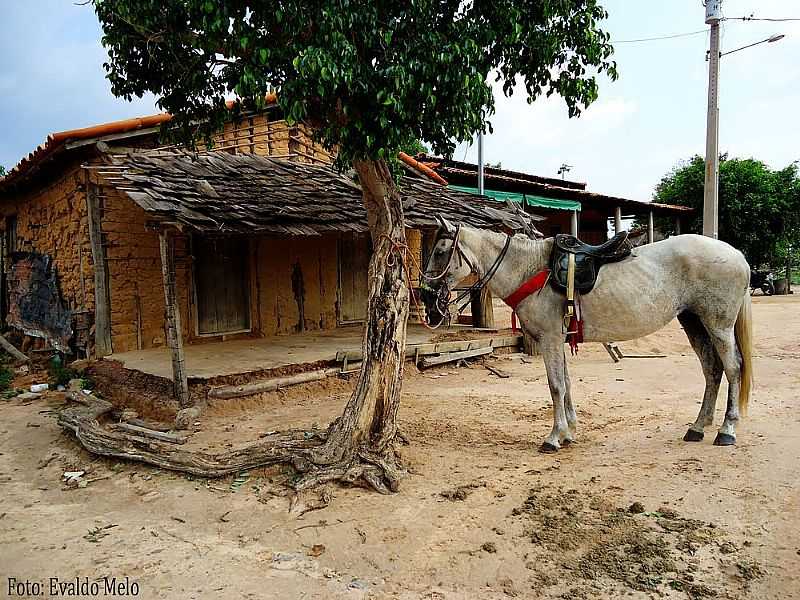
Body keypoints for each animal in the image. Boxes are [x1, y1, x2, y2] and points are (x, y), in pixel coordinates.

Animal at [422, 223, 752, 452]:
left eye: (440, 251)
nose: (426, 296)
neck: (530, 268)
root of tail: (736, 254)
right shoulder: (558, 339)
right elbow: (566, 384)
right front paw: (569, 431)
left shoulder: (549, 338)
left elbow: (555, 385)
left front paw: (554, 437)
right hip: (694, 322)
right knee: (712, 369)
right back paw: (698, 427)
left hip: (718, 326)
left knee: (733, 368)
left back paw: (726, 430)